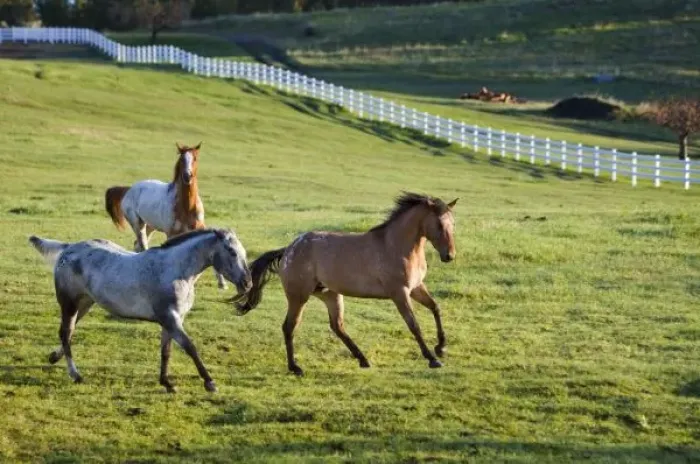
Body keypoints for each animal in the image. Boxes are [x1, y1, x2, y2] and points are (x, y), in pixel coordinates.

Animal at [28, 228, 252, 393]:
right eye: (232, 252)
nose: (247, 283)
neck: (175, 270)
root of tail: (68, 248)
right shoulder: (170, 319)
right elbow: (190, 347)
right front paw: (209, 382)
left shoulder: (171, 321)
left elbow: (166, 352)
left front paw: (167, 383)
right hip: (69, 303)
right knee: (66, 333)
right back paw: (75, 374)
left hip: (85, 303)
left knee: (69, 331)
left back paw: (54, 357)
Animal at [104, 142, 228, 290]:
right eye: (182, 159)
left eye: (195, 158)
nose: (187, 176)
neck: (186, 207)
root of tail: (129, 189)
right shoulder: (172, 234)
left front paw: (222, 283)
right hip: (137, 224)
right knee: (143, 244)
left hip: (150, 226)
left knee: (137, 245)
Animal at [233, 192, 458, 376]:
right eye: (439, 224)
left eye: (453, 224)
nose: (449, 256)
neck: (396, 247)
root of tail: (288, 250)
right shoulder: (399, 293)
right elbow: (414, 325)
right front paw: (432, 359)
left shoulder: (416, 288)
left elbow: (435, 308)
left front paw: (441, 347)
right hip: (299, 297)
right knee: (289, 326)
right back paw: (295, 367)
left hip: (330, 295)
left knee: (337, 326)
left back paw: (363, 359)